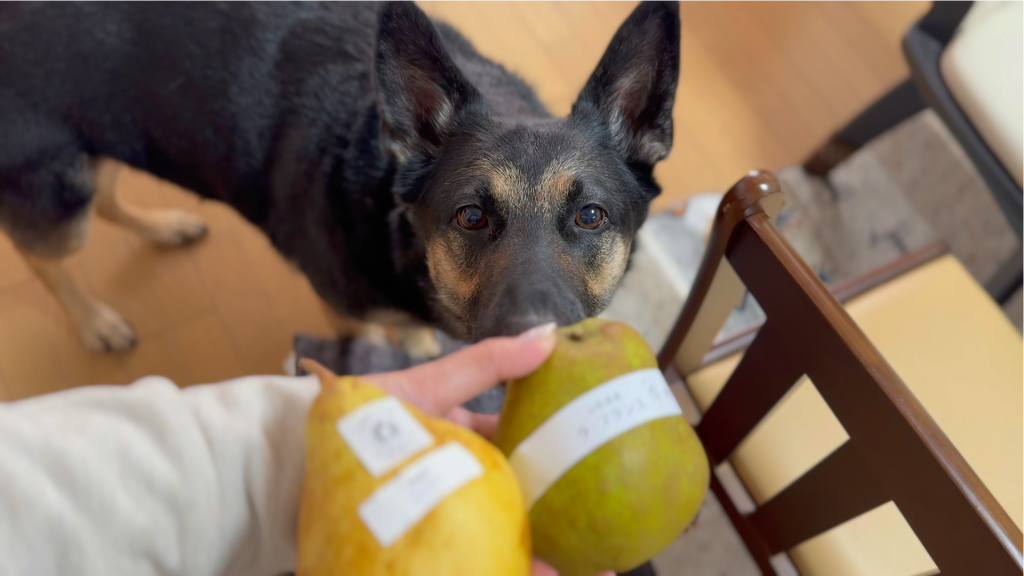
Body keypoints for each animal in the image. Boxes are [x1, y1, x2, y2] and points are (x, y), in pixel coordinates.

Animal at [0, 0, 680, 357]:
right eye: (472, 216)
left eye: (589, 216)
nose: (527, 343)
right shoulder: (346, 312)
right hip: (61, 192)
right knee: (42, 253)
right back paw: (96, 322)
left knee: (108, 198)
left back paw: (165, 227)